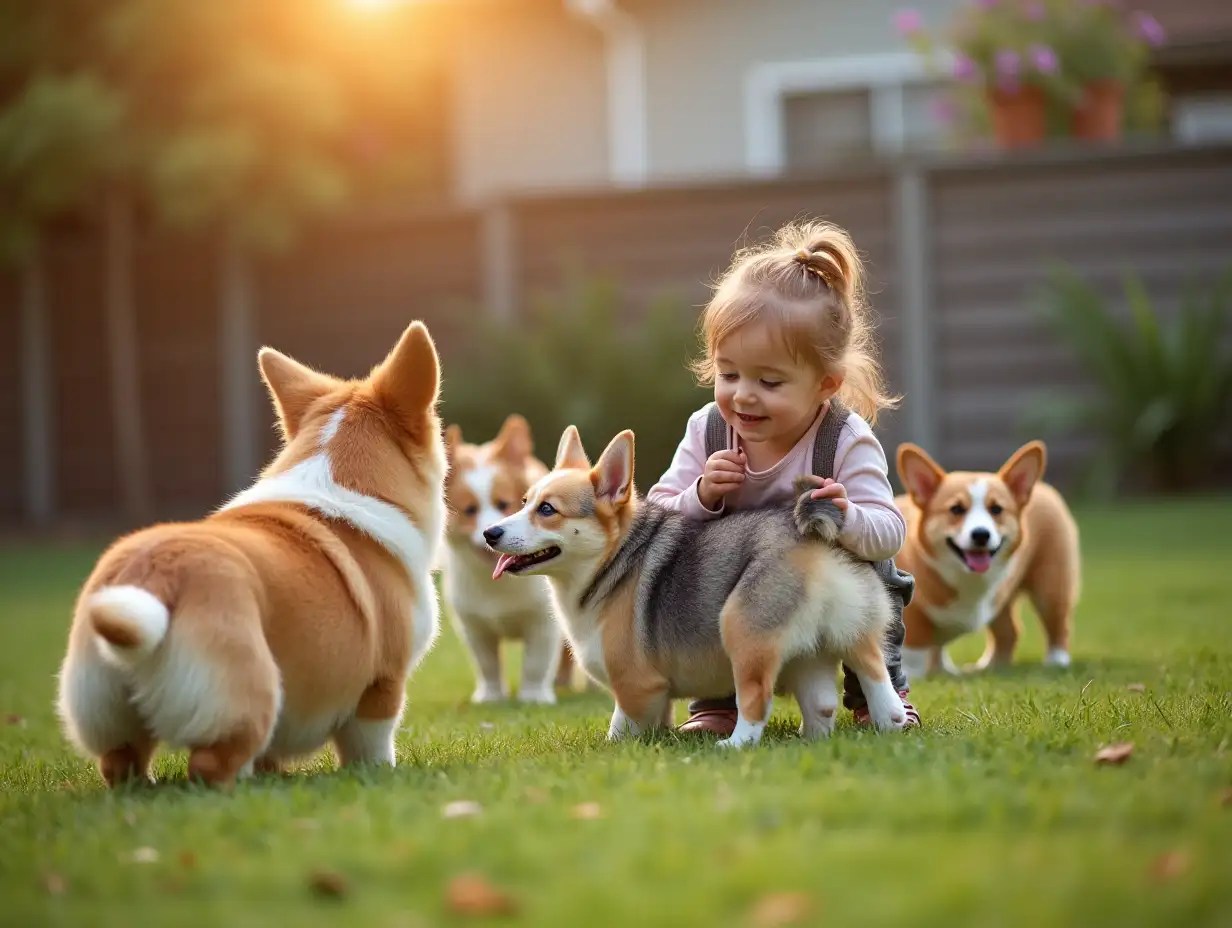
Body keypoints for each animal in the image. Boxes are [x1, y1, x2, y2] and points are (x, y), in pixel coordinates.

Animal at [55, 322, 448, 783]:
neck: (337, 476)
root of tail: (153, 573)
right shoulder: (383, 683)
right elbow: (371, 743)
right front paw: (380, 773)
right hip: (249, 692)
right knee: (213, 765)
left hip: (110, 712)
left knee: (122, 762)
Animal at [443, 411, 571, 700]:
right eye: (470, 510)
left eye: (503, 503)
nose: (490, 533)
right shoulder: (474, 625)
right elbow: (487, 664)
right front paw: (491, 697)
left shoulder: (543, 621)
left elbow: (536, 663)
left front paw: (534, 697)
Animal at [480, 426, 906, 744]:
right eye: (523, 501)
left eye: (547, 510)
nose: (489, 533)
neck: (610, 560)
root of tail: (809, 534)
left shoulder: (636, 687)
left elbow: (620, 728)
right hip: (835, 640)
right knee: (861, 681)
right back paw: (877, 725)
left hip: (743, 629)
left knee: (756, 700)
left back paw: (735, 744)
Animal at [896, 441, 1079, 680]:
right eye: (956, 509)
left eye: (996, 509)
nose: (981, 534)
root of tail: (1043, 487)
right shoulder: (915, 618)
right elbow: (918, 650)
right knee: (1009, 632)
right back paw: (989, 667)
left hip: (1050, 585)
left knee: (1057, 621)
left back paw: (1056, 661)